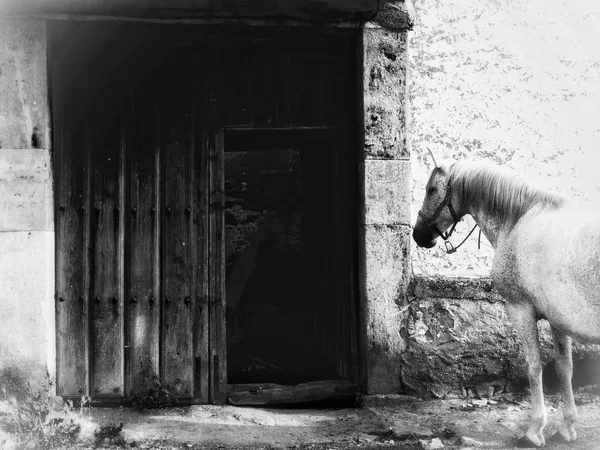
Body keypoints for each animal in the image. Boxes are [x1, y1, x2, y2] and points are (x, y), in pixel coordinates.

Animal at [412, 157, 600, 446]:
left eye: (431, 190)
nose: (418, 235)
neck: (518, 220)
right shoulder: (558, 319)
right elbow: (564, 368)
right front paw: (567, 427)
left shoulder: (520, 309)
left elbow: (534, 367)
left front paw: (534, 430)